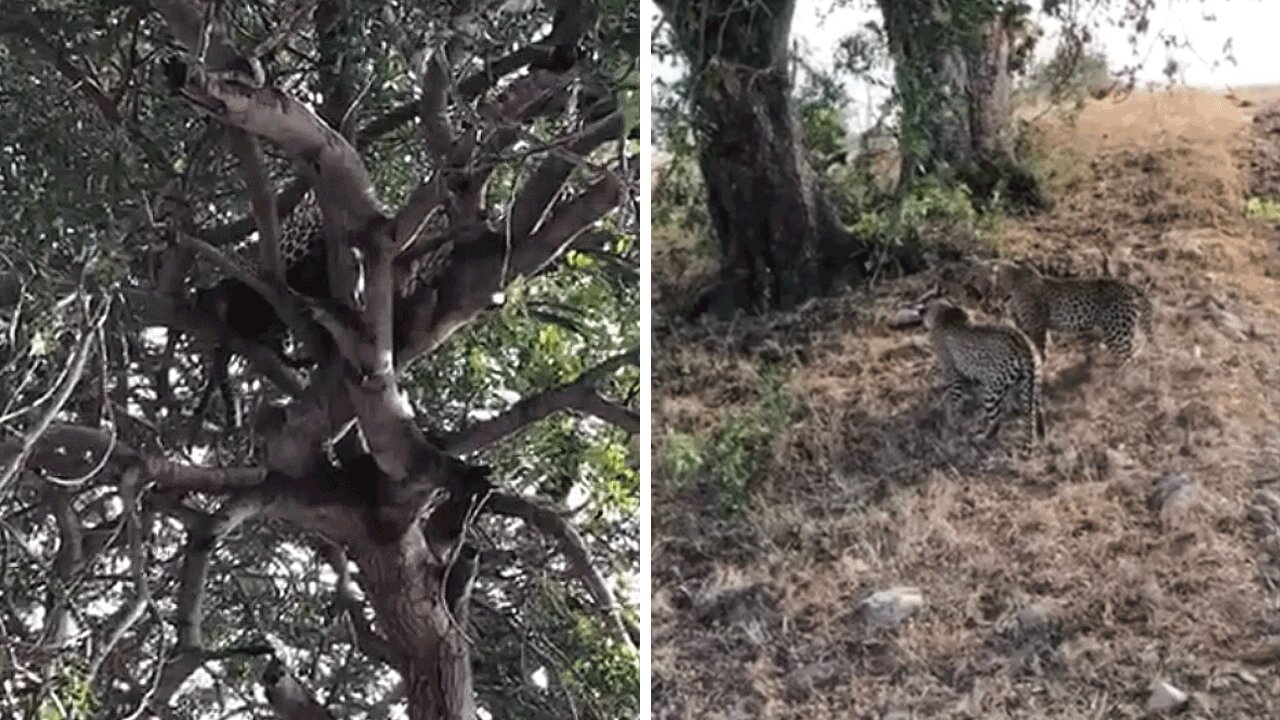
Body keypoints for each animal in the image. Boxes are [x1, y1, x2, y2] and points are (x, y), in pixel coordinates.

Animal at [926, 295, 1044, 443]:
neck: (945, 312)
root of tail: (1024, 343)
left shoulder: (952, 370)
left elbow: (954, 396)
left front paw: (952, 417)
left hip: (992, 389)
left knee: (997, 421)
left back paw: (982, 436)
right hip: (1031, 382)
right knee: (1036, 407)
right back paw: (1039, 429)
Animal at [993, 260, 1157, 361]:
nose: (997, 299)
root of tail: (1128, 284)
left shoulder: (1037, 326)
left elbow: (1040, 349)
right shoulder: (1036, 326)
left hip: (1117, 332)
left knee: (1128, 359)